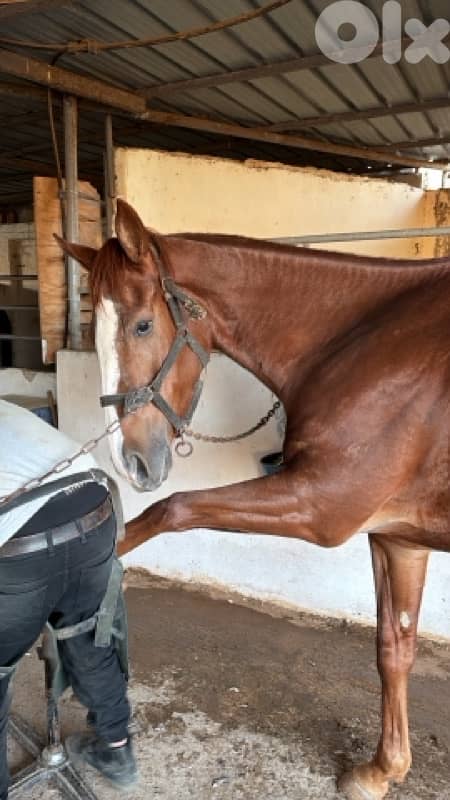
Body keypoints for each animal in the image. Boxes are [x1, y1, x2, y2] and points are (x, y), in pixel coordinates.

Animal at [57, 198, 450, 800]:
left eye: (143, 324)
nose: (131, 462)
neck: (371, 340)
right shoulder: (398, 538)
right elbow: (394, 648)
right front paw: (381, 770)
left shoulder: (321, 507)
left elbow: (170, 510)